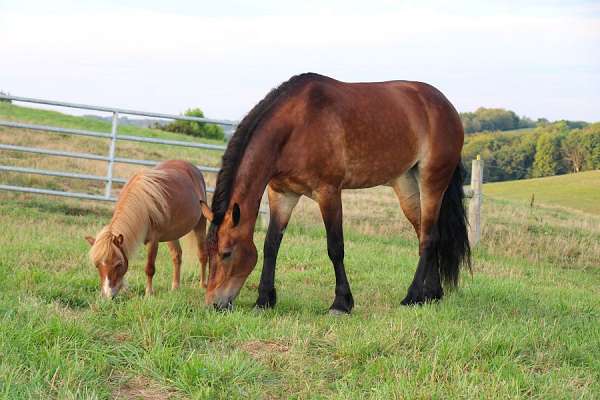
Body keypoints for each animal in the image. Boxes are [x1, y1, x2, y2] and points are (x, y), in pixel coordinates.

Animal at [85, 159, 213, 296]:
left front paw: (149, 293)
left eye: (118, 264)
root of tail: (191, 167)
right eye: (97, 265)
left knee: (202, 255)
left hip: (200, 223)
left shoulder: (153, 241)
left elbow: (149, 268)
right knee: (177, 257)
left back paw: (203, 285)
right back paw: (175, 287)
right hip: (172, 235)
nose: (107, 295)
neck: (143, 206)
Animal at [204, 72, 472, 312]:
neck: (296, 126)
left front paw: (341, 303)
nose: (214, 304)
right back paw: (431, 294)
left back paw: (412, 296)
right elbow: (271, 245)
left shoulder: (328, 192)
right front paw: (264, 300)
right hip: (406, 185)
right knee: (425, 232)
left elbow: (335, 247)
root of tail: (446, 106)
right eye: (208, 253)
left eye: (226, 253)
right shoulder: (282, 194)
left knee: (429, 237)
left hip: (432, 180)